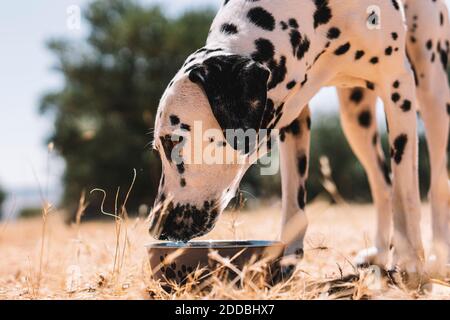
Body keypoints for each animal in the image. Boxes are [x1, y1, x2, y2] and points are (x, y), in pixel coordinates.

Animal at [149, 0, 448, 280]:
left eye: (173, 141)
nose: (154, 226)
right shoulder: (294, 112)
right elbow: (294, 204)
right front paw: (287, 259)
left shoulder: (397, 87)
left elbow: (406, 193)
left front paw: (410, 260)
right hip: (355, 115)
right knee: (382, 183)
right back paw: (381, 252)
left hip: (432, 91)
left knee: (436, 185)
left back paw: (437, 255)